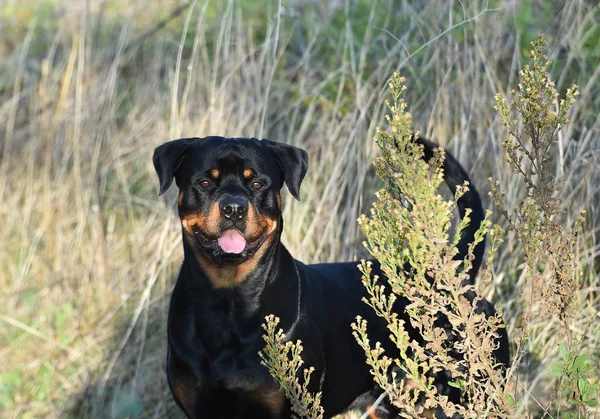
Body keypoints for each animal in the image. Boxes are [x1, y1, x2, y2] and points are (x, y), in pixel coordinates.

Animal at [152, 136, 508, 418]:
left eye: (257, 184)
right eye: (204, 183)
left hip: (478, 392)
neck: (228, 301)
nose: (234, 208)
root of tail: (451, 275)